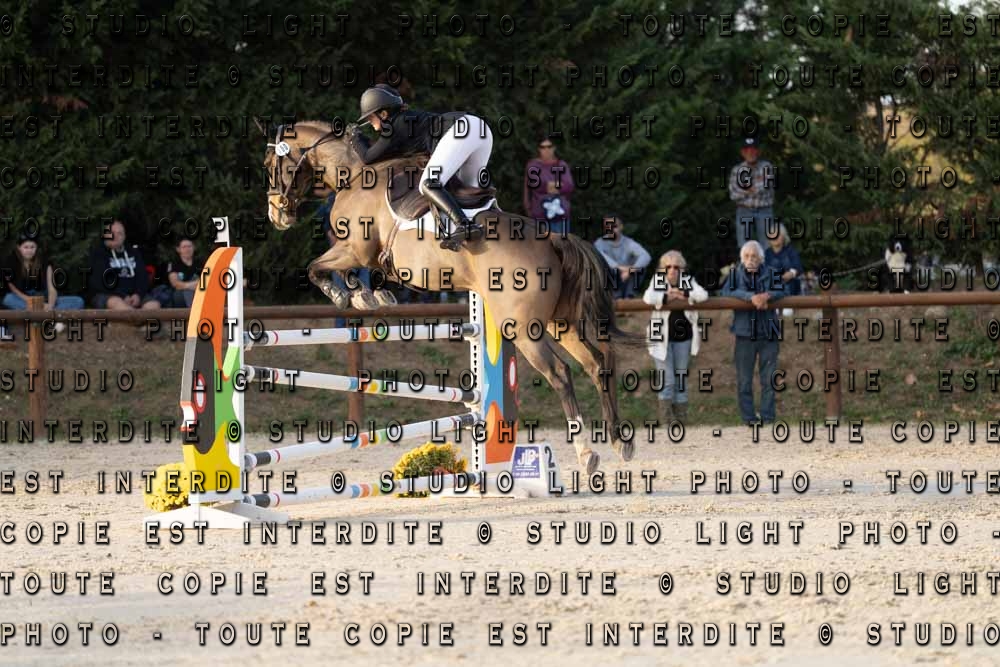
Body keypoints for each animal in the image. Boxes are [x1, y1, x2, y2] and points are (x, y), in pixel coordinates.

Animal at [261, 120, 644, 474]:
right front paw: (373, 295)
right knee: (596, 364)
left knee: (561, 373)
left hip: (521, 328)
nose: (275, 214)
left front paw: (349, 296)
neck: (354, 174)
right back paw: (619, 443)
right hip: (558, 322)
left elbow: (318, 267)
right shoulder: (365, 255)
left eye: (270, 165)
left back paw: (587, 453)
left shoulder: (354, 248)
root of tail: (551, 236)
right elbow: (358, 272)